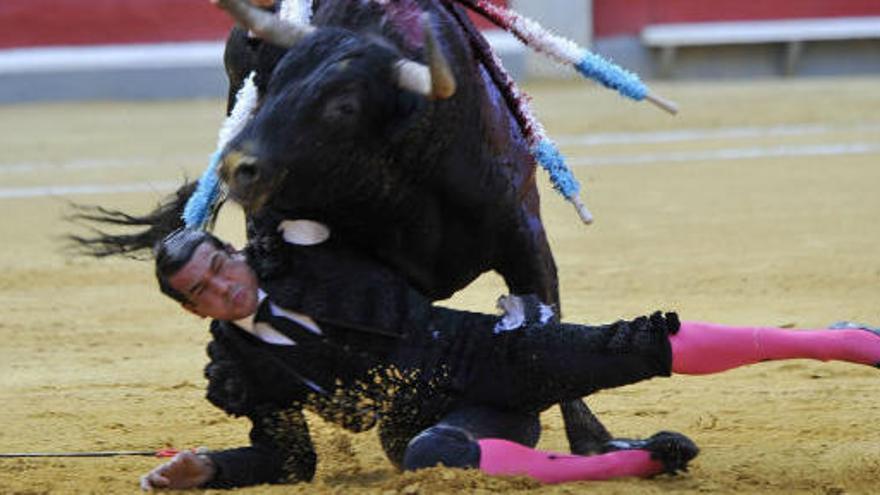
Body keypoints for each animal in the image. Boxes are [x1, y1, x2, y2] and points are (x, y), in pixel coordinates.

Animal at [72, 0, 612, 458]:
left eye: (343, 106)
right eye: (271, 83)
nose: (236, 167)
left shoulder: (524, 234)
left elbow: (548, 323)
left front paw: (593, 441)